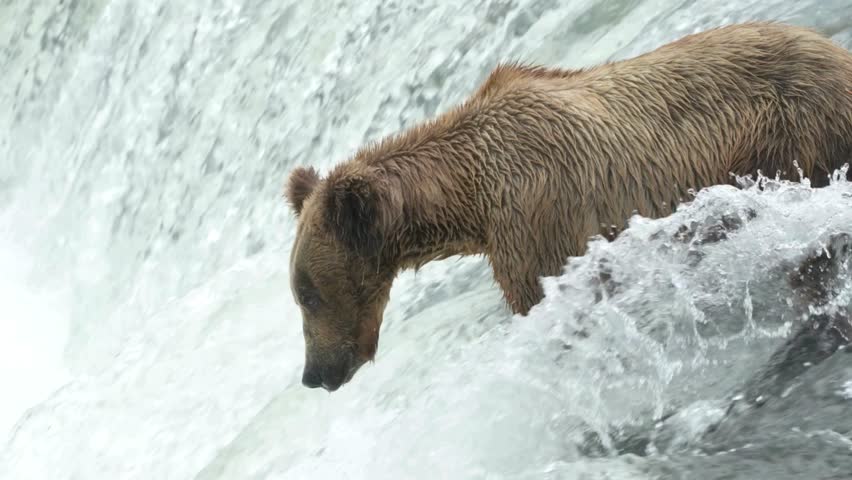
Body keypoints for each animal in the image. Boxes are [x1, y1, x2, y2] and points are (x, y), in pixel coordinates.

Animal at [284, 21, 852, 391]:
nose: (314, 374)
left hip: (796, 136)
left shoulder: (540, 223)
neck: (469, 198)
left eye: (307, 294)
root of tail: (833, 49)